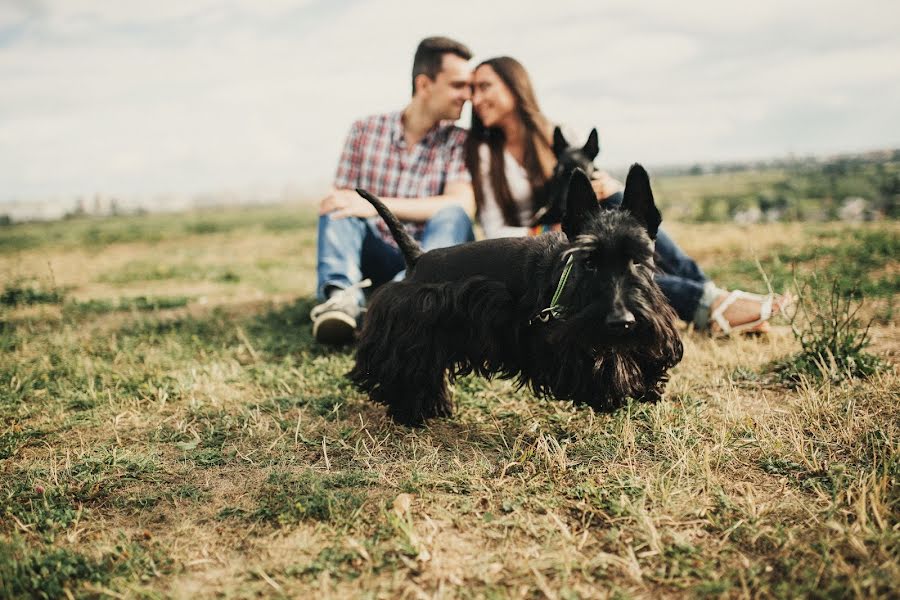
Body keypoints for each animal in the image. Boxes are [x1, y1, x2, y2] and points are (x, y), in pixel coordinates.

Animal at [350, 164, 684, 426]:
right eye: (589, 262)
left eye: (639, 258)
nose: (620, 321)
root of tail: (418, 258)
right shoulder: (565, 340)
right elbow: (602, 364)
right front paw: (622, 388)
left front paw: (649, 379)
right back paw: (411, 413)